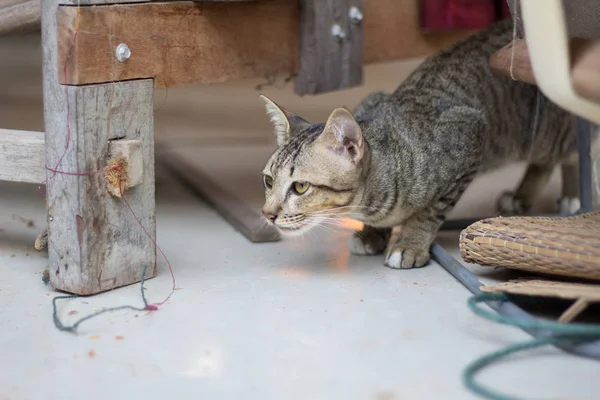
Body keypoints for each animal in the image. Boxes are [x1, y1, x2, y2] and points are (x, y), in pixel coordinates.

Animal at [260, 18, 580, 268]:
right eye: (268, 181)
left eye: (301, 187)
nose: (267, 214)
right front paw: (372, 233)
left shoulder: (469, 136)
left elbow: (430, 211)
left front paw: (409, 243)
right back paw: (521, 195)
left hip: (544, 132)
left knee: (570, 149)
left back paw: (572, 195)